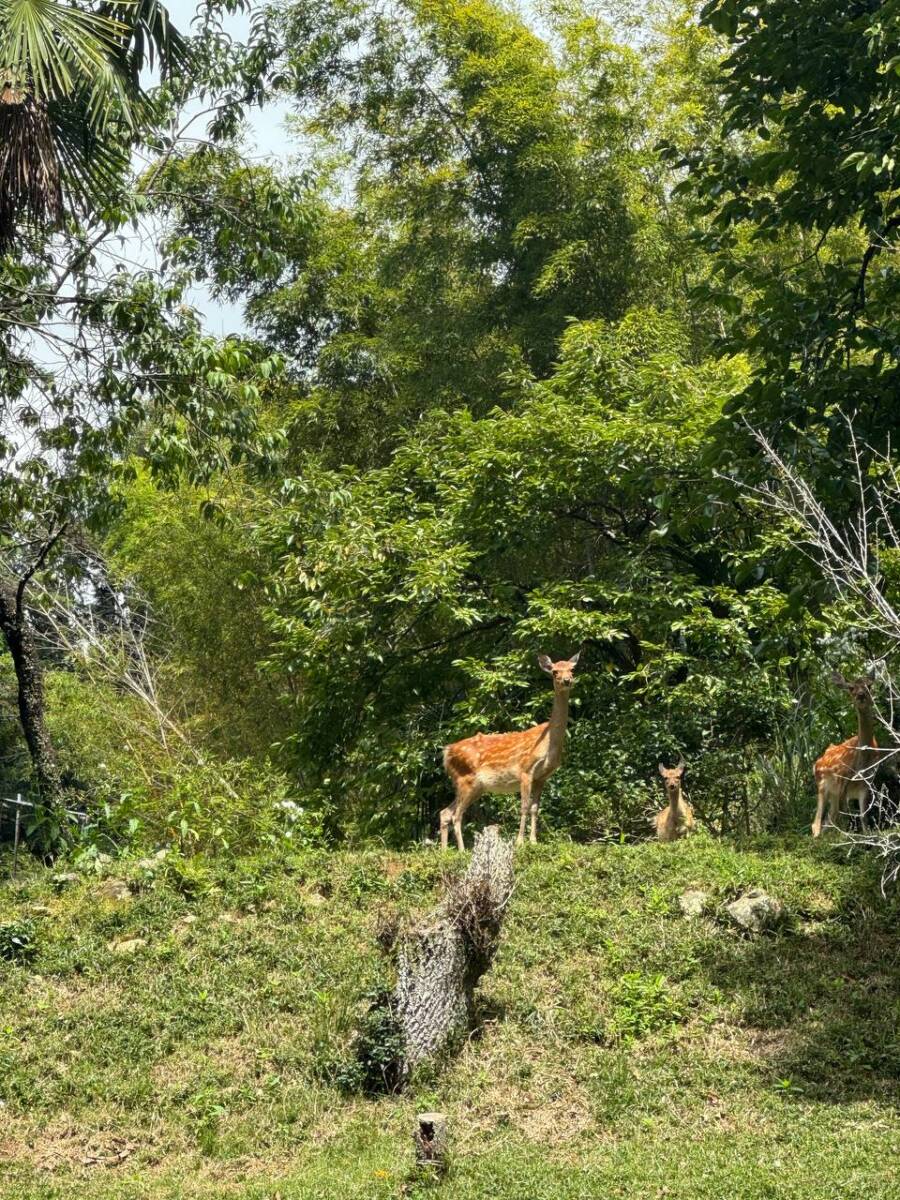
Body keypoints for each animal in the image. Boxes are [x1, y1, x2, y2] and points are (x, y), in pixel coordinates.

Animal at [441, 652, 580, 849]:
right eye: (554, 671)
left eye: (572, 669)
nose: (567, 680)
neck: (548, 743)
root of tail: (446, 752)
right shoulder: (525, 770)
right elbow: (524, 807)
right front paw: (520, 842)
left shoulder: (542, 777)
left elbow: (535, 808)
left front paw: (534, 841)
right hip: (465, 779)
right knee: (456, 815)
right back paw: (461, 850)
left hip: (474, 786)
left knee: (445, 812)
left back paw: (444, 851)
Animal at [816, 672, 878, 840]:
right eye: (851, 688)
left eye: (869, 685)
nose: (861, 695)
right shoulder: (843, 780)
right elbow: (845, 815)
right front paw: (846, 838)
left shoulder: (866, 782)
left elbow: (863, 815)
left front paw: (866, 835)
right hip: (823, 785)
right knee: (819, 821)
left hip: (834, 793)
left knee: (829, 819)